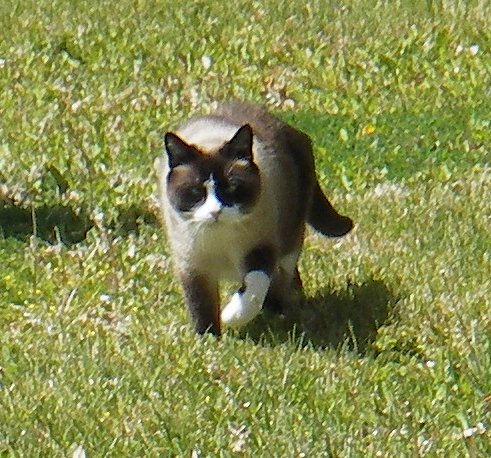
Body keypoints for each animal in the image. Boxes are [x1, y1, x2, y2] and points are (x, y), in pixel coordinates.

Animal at [158, 103, 354, 336]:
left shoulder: (261, 249)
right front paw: (209, 339)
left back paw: (279, 311)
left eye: (232, 189)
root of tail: (289, 129)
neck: (219, 238)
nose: (215, 212)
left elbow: (254, 288)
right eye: (197, 192)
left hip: (288, 240)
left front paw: (231, 316)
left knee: (282, 276)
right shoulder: (193, 267)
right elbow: (201, 308)